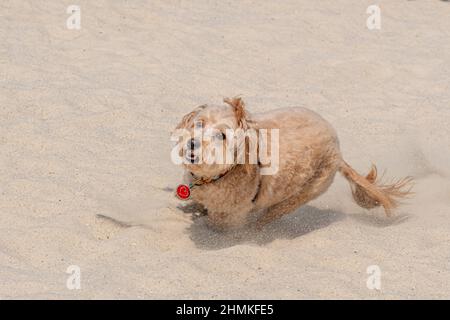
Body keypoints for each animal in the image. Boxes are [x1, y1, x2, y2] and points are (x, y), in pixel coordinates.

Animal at [174, 97, 414, 230]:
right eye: (200, 123)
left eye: (222, 136)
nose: (192, 143)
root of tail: (338, 152)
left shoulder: (230, 216)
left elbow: (217, 225)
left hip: (304, 193)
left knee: (272, 214)